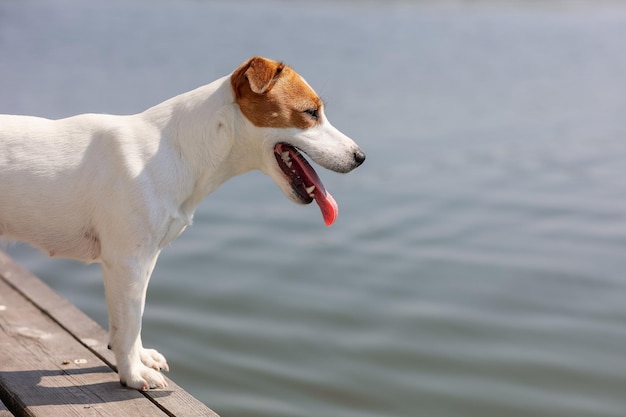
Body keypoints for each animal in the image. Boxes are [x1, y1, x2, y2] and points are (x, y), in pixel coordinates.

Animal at [0, 57, 366, 388]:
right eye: (311, 113)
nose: (361, 156)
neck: (176, 149)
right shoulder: (127, 261)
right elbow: (128, 323)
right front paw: (133, 375)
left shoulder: (146, 259)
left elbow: (134, 320)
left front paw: (140, 358)